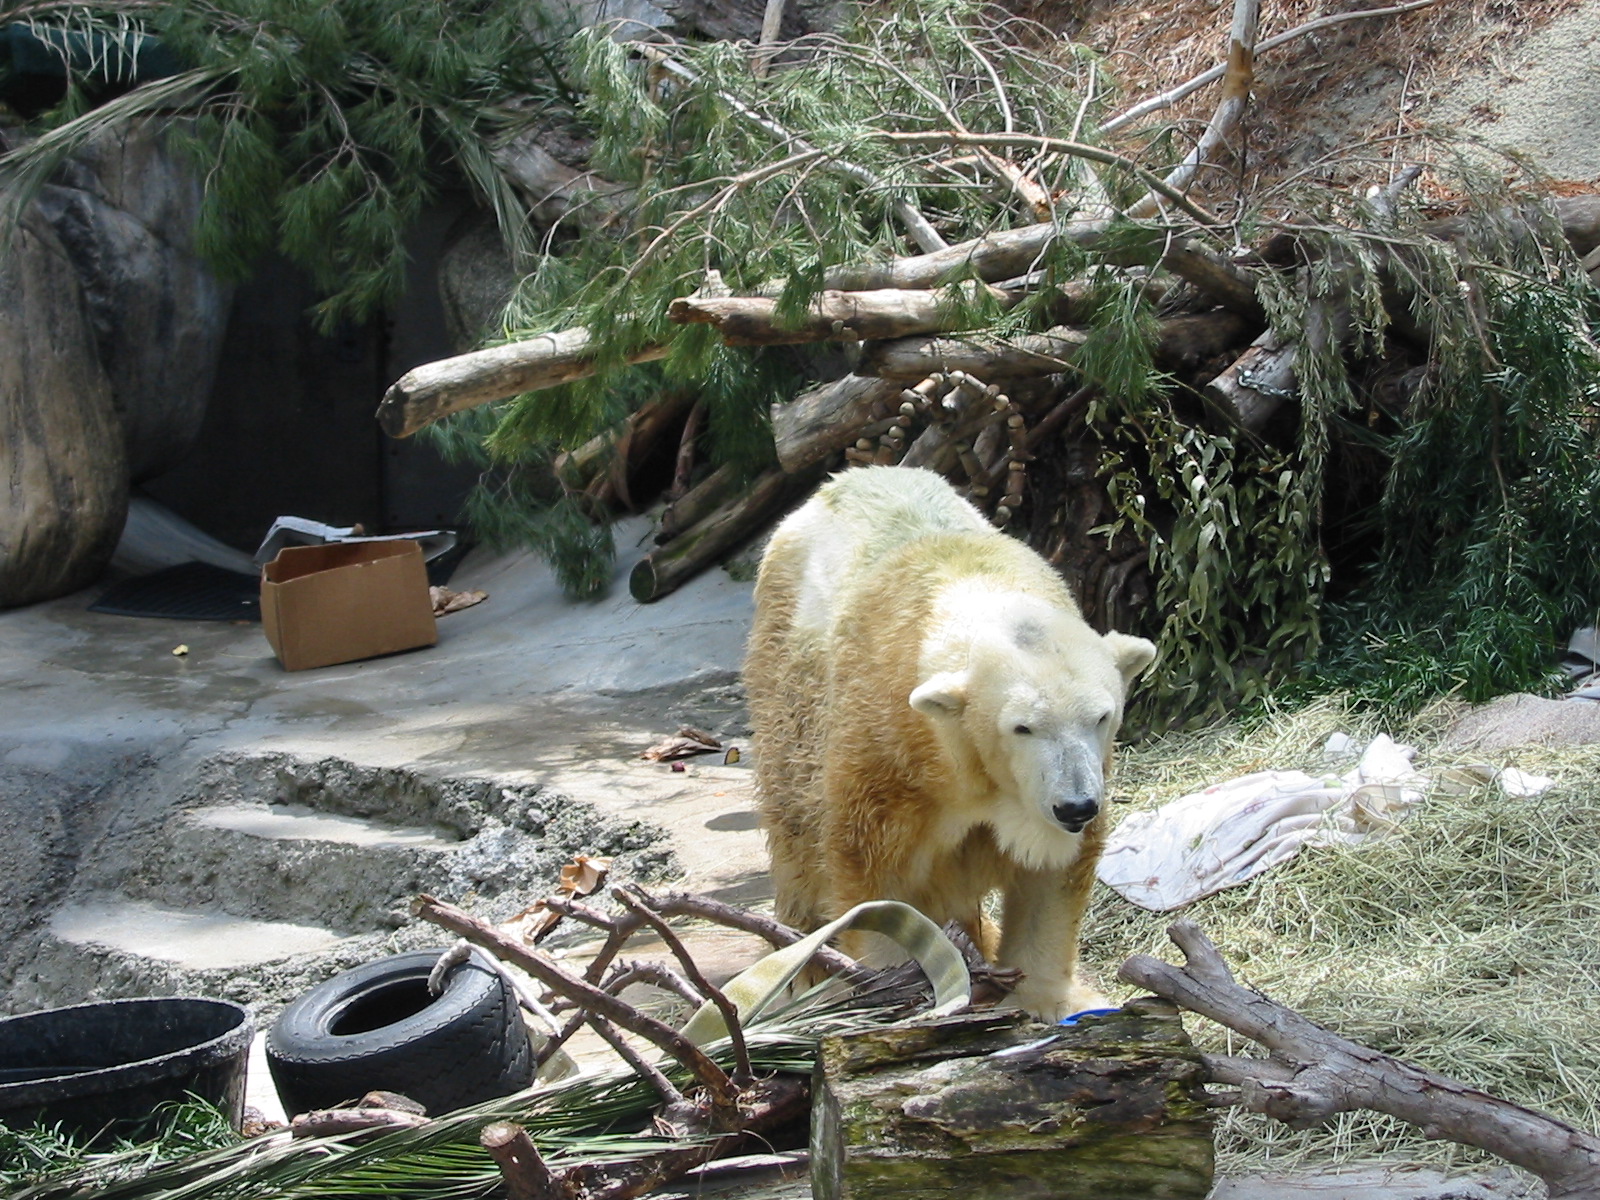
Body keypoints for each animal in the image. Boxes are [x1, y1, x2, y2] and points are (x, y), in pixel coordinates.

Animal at [744, 465, 1156, 1020]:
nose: (1075, 806)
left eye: (1101, 716)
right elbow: (873, 876)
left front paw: (1047, 998)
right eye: (1022, 726)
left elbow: (1051, 876)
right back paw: (802, 961)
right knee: (794, 825)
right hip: (785, 686)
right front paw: (898, 991)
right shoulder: (888, 758)